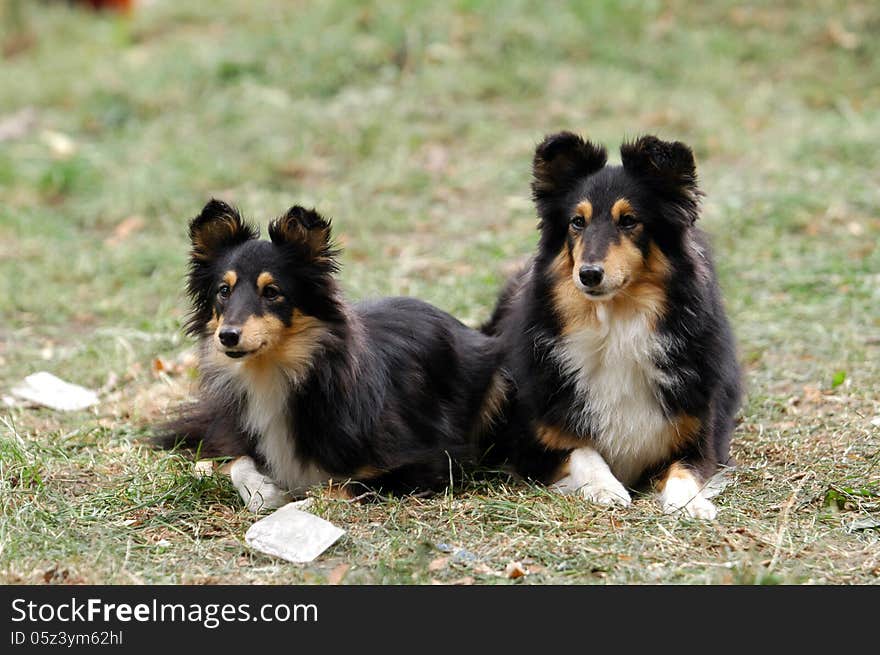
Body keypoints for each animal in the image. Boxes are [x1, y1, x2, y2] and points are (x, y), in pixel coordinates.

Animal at [155, 200, 506, 508]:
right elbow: (237, 462)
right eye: (223, 291)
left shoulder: (428, 461)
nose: (227, 337)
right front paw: (263, 493)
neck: (275, 372)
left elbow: (338, 486)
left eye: (272, 292)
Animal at [482, 133, 744, 520]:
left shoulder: (700, 438)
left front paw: (690, 504)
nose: (588, 274)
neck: (615, 326)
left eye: (629, 220)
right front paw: (605, 488)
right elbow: (583, 451)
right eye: (577, 221)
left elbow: (685, 470)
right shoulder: (531, 444)